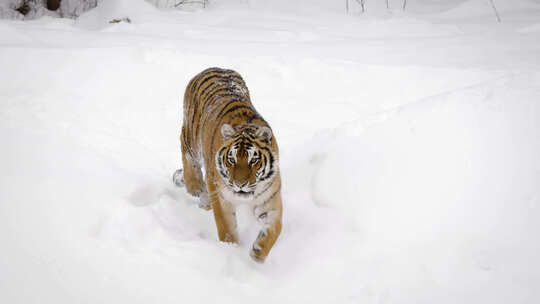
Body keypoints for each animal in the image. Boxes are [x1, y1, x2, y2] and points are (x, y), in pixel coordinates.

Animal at [173, 67, 282, 262]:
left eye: (253, 160)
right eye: (231, 159)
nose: (240, 184)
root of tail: (214, 67)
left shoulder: (270, 199)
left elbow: (274, 228)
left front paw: (259, 251)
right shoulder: (221, 196)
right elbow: (226, 227)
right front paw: (230, 249)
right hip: (191, 137)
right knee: (186, 153)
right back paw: (194, 186)